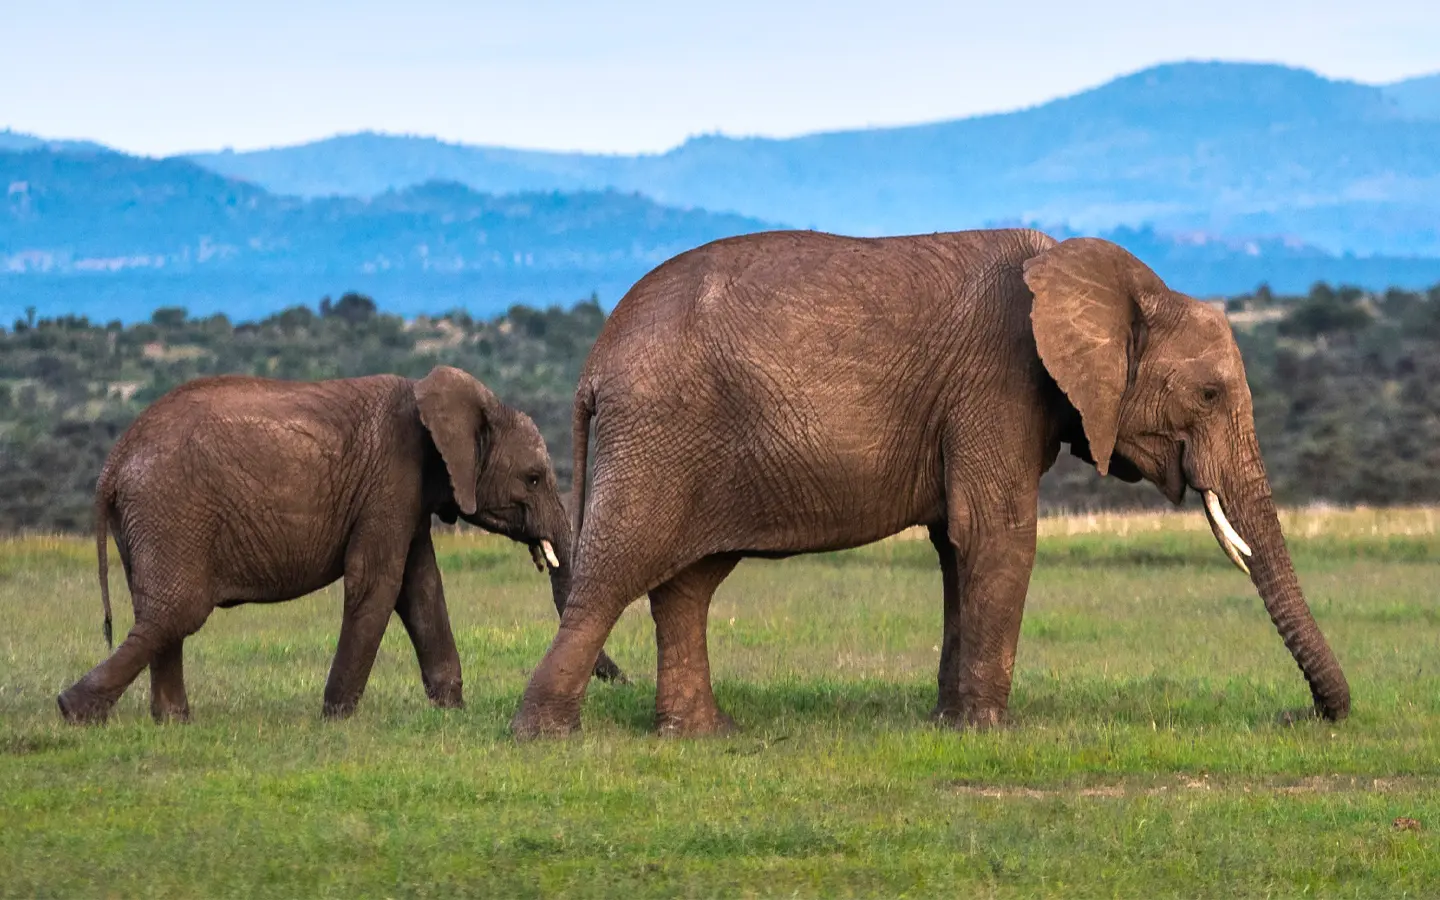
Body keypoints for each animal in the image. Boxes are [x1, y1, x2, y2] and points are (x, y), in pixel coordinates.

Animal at [57, 365, 624, 725]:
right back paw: (75, 712)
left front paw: (451, 712)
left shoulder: (407, 494)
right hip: (170, 512)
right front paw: (336, 719)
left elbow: (422, 589)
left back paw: (171, 723)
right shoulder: (391, 479)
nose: (625, 683)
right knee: (176, 611)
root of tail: (112, 465)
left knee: (160, 615)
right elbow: (379, 583)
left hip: (152, 520)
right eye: (533, 479)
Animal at [510, 228, 1351, 738]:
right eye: (1208, 394)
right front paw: (988, 731)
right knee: (615, 573)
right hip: (660, 434)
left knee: (687, 585)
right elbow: (997, 535)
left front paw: (953, 723)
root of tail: (595, 362)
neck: (1115, 280)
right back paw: (546, 736)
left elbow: (957, 545)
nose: (1307, 718)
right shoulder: (999, 384)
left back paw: (700, 736)